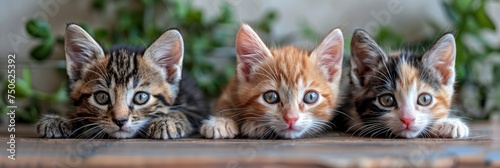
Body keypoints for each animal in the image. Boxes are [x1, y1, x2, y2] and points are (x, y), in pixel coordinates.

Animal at [36, 23, 209, 139]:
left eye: (141, 97)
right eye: (102, 97)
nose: (120, 121)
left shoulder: (196, 107)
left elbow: (182, 112)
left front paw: (168, 121)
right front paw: (61, 119)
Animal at [199, 23, 344, 139]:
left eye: (311, 97)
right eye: (270, 97)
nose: (291, 119)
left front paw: (256, 125)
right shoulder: (230, 90)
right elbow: (223, 104)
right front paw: (220, 122)